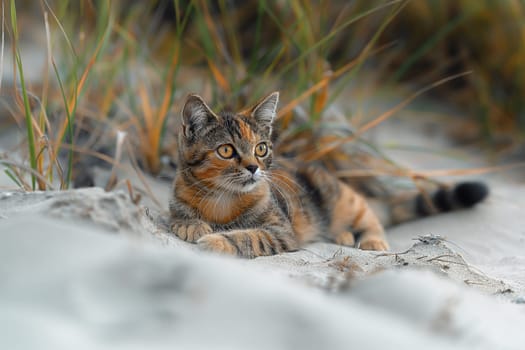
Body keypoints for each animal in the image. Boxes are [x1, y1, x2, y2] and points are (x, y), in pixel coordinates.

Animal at [170, 91, 490, 258]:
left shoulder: (281, 231)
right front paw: (191, 224)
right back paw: (344, 236)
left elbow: (249, 237)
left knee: (371, 218)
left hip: (345, 200)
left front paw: (216, 241)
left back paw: (370, 240)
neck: (223, 198)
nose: (253, 167)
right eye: (226, 151)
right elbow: (179, 212)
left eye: (261, 148)